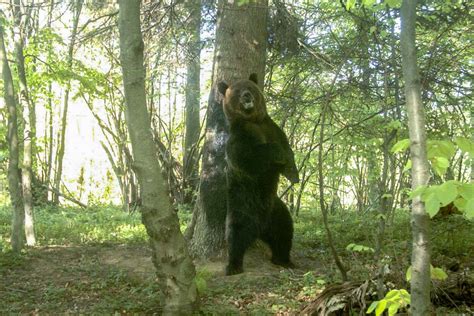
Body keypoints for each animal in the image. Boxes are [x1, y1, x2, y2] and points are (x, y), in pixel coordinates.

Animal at [218, 73, 298, 274]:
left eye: (249, 87)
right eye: (236, 90)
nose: (246, 96)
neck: (252, 120)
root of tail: (261, 228)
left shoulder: (272, 128)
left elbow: (288, 150)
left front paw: (293, 174)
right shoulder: (240, 138)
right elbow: (248, 160)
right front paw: (275, 153)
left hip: (277, 211)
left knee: (284, 233)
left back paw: (283, 259)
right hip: (241, 208)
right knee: (235, 236)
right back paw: (233, 266)